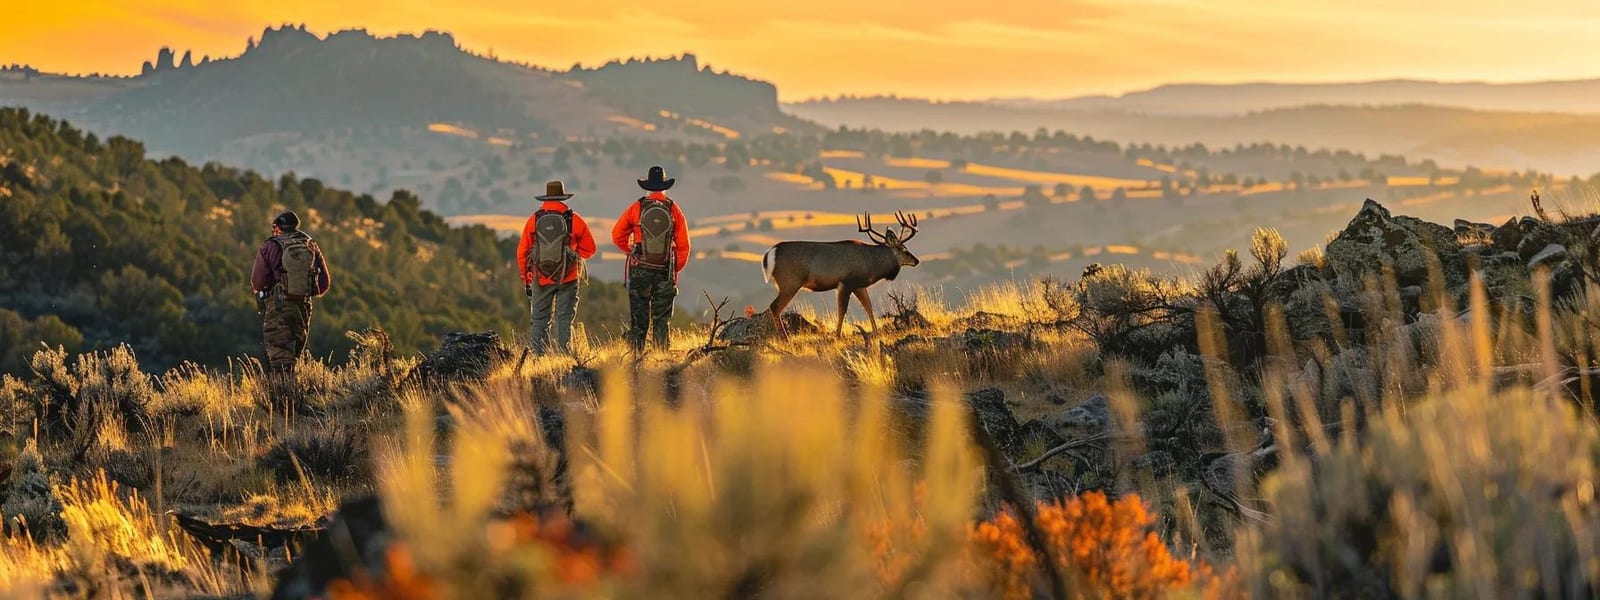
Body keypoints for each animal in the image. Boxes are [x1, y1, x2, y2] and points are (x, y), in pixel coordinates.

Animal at [760, 211, 921, 338]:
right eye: (904, 249)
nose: (916, 261)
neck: (871, 264)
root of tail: (770, 253)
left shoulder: (859, 285)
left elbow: (868, 306)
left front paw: (876, 332)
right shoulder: (846, 282)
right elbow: (842, 310)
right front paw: (838, 335)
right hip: (790, 282)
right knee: (775, 306)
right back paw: (784, 338)